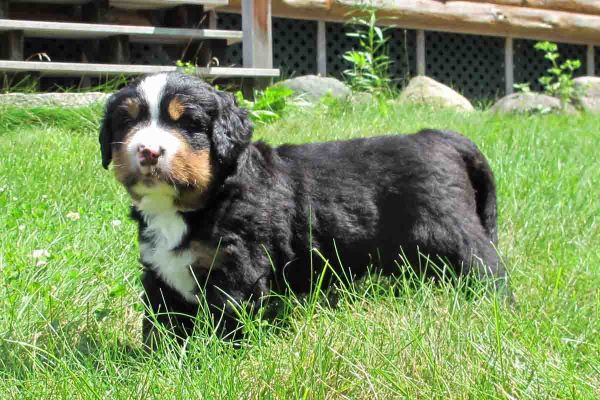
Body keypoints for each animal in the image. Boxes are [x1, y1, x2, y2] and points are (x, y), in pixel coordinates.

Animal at [99, 72, 506, 344]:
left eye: (188, 123)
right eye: (128, 121)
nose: (148, 151)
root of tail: (440, 137)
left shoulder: (237, 268)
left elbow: (227, 320)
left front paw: (214, 359)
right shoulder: (159, 271)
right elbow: (160, 324)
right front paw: (159, 360)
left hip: (453, 235)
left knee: (489, 267)